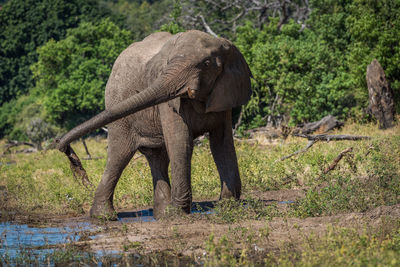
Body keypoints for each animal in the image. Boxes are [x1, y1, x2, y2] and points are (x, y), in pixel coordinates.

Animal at [57, 30, 250, 221]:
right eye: (168, 63)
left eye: (207, 64)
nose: (65, 148)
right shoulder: (169, 104)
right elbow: (181, 142)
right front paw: (178, 214)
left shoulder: (223, 93)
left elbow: (221, 143)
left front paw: (228, 207)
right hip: (117, 108)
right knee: (119, 155)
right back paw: (104, 217)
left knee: (157, 157)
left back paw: (162, 215)